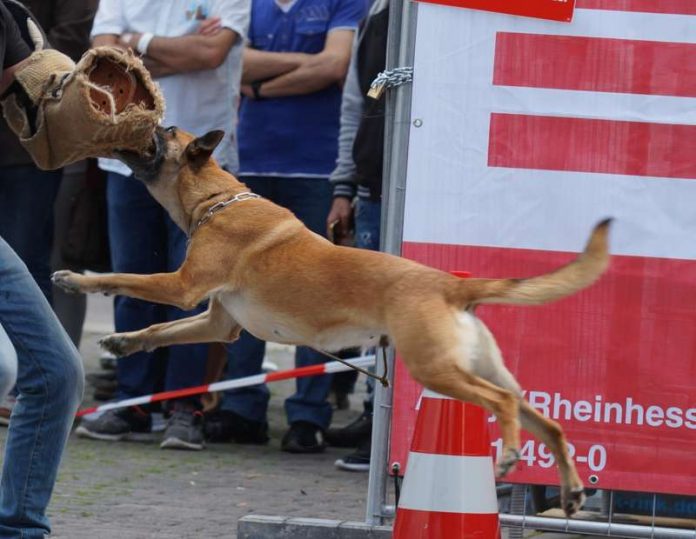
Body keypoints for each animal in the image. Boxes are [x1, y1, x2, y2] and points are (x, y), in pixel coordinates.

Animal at [51, 125, 612, 516]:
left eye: (164, 132)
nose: (136, 122)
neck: (216, 199)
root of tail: (450, 285)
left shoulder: (180, 285)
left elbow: (123, 277)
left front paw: (74, 278)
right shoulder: (218, 325)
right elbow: (157, 332)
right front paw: (122, 342)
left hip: (438, 371)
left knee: (502, 404)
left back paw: (511, 455)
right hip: (476, 369)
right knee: (549, 423)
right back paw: (571, 488)